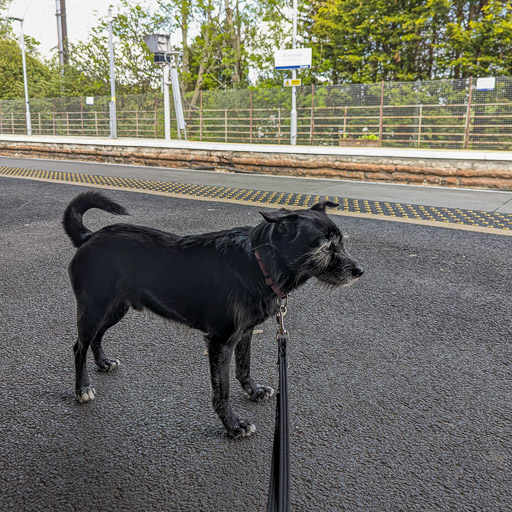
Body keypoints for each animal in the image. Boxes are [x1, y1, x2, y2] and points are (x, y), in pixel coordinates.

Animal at [62, 190, 362, 438]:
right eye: (325, 247)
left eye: (342, 243)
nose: (359, 271)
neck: (259, 262)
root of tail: (89, 237)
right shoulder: (220, 342)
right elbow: (222, 391)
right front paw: (234, 426)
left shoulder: (245, 333)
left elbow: (244, 366)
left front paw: (253, 391)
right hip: (94, 309)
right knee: (79, 347)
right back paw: (82, 388)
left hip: (115, 309)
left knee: (96, 338)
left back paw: (102, 362)